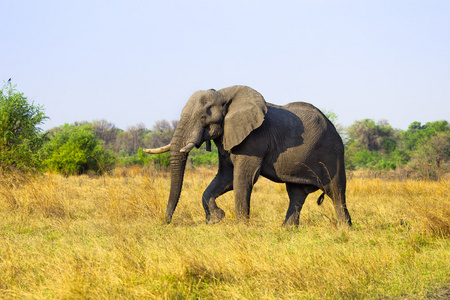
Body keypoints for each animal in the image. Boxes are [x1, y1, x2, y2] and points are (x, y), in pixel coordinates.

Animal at [144, 85, 352, 226]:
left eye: (203, 117)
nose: (167, 221)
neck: (224, 94)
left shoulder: (253, 139)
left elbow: (243, 179)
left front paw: (241, 227)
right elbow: (225, 178)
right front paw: (216, 219)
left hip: (332, 154)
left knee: (336, 191)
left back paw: (345, 230)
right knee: (296, 193)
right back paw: (287, 229)